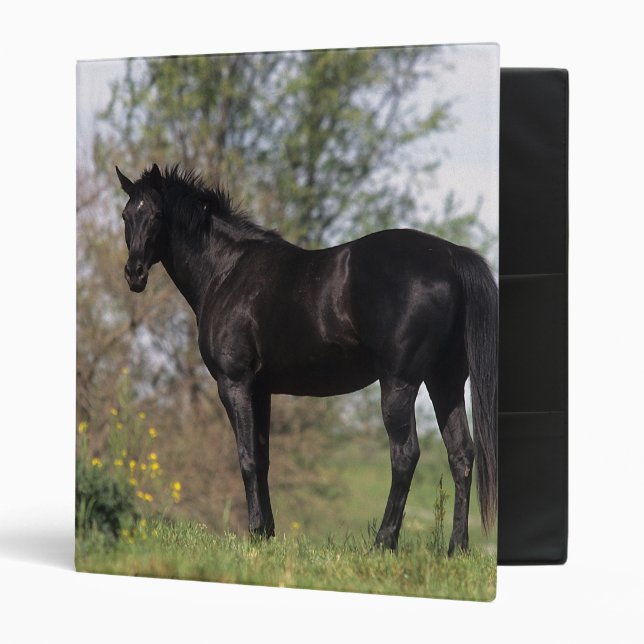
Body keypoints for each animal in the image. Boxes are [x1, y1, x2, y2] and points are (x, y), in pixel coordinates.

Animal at [115, 163, 497, 553]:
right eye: (127, 215)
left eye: (157, 214)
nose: (134, 273)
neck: (226, 272)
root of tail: (450, 257)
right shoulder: (261, 389)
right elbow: (263, 458)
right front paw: (266, 533)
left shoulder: (234, 383)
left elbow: (247, 457)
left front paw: (254, 532)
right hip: (445, 381)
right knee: (461, 455)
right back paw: (457, 548)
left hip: (399, 384)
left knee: (405, 455)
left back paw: (383, 543)